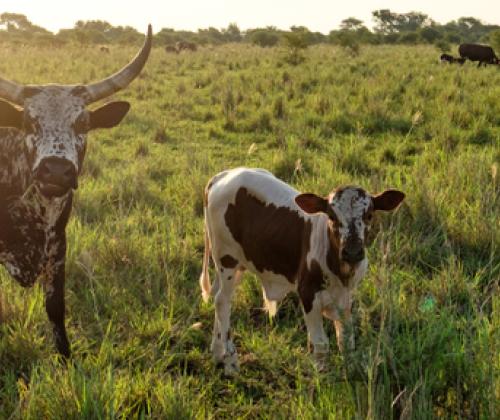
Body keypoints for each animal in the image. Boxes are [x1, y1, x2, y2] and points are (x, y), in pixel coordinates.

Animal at [0, 24, 152, 358]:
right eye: (29, 121)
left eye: (83, 123)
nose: (56, 170)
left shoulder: (58, 242)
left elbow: (55, 306)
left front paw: (66, 358)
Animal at [197, 167, 404, 374]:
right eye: (332, 217)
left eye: (368, 215)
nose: (352, 251)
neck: (339, 271)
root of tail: (222, 175)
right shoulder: (307, 293)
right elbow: (320, 344)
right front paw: (322, 377)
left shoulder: (346, 297)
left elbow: (346, 340)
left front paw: (349, 371)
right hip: (227, 258)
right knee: (222, 301)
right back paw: (230, 362)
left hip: (234, 264)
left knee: (217, 296)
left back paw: (217, 353)